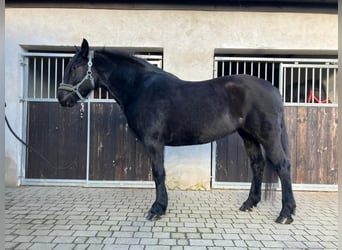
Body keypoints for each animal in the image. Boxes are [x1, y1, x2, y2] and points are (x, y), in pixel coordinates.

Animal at [57, 39, 296, 225]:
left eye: (75, 67)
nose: (61, 98)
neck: (141, 88)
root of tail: (273, 89)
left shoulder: (154, 143)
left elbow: (158, 173)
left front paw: (157, 209)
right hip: (248, 136)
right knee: (257, 165)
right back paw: (249, 203)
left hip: (268, 137)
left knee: (282, 166)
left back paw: (286, 213)